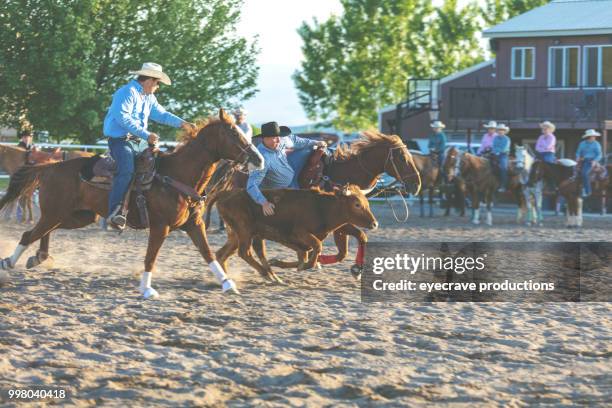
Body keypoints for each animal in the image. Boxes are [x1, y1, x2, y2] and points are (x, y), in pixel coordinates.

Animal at [0, 110, 262, 298]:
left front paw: (228, 284)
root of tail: (50, 166)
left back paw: (39, 257)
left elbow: (208, 253)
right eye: (234, 134)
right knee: (28, 234)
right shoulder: (160, 226)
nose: (258, 159)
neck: (176, 175)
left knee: (43, 232)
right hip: (56, 213)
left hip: (76, 216)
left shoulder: (194, 225)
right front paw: (146, 288)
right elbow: (151, 257)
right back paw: (10, 261)